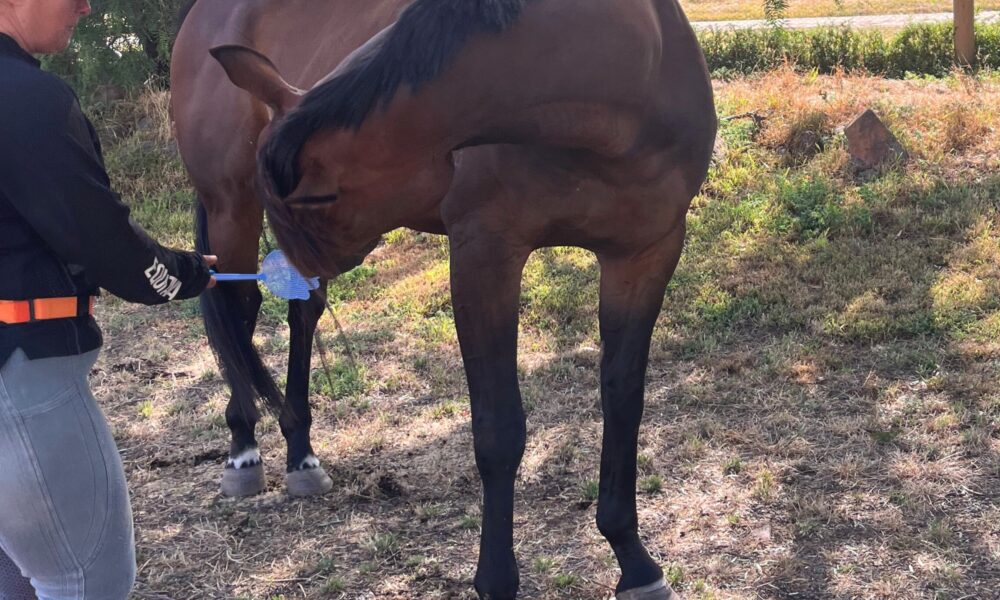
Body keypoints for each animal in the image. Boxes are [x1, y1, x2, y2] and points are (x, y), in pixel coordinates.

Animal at [176, 0, 716, 596]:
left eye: (317, 199)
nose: (296, 264)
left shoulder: (645, 254)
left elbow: (623, 401)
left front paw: (634, 559)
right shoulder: (484, 255)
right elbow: (499, 429)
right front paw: (497, 578)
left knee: (297, 316)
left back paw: (300, 452)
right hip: (230, 209)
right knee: (239, 316)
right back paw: (243, 450)